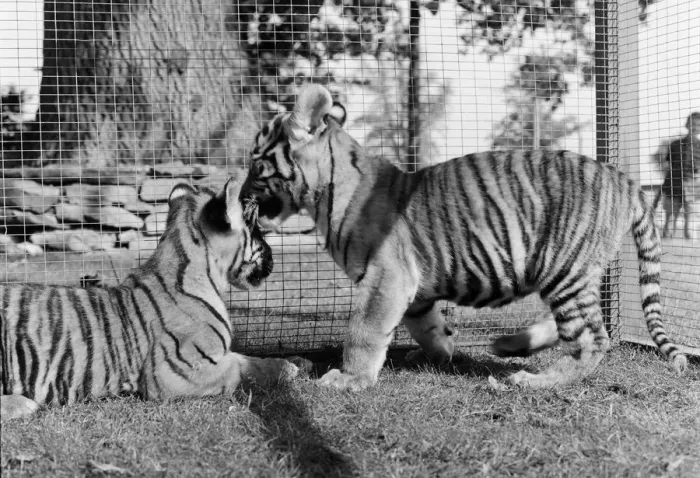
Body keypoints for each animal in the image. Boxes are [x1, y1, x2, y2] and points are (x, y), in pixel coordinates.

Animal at [1, 177, 300, 420]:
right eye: (257, 230)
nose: (273, 257)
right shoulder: (177, 372)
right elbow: (243, 367)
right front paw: (288, 367)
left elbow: (245, 358)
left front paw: (296, 362)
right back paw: (22, 405)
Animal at [240, 83, 688, 391]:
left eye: (256, 165)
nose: (240, 195)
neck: (324, 192)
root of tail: (623, 179)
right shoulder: (412, 287)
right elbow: (426, 324)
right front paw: (442, 352)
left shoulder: (386, 276)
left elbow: (363, 330)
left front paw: (348, 379)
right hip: (573, 271)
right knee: (584, 326)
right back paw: (511, 345)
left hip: (565, 267)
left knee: (592, 337)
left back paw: (533, 381)